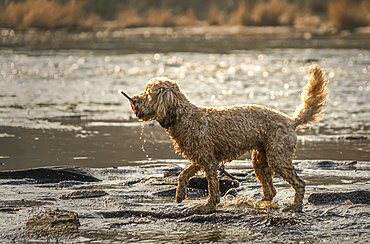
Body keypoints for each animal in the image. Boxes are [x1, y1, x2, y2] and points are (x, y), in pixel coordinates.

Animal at [123, 64, 328, 212]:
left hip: (278, 157)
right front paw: (180, 195)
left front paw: (208, 206)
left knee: (299, 184)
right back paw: (259, 202)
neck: (183, 117)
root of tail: (291, 121)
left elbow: (213, 186)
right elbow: (183, 175)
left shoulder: (208, 161)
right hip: (260, 159)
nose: (133, 101)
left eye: (148, 94)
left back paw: (295, 206)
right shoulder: (200, 158)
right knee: (270, 190)